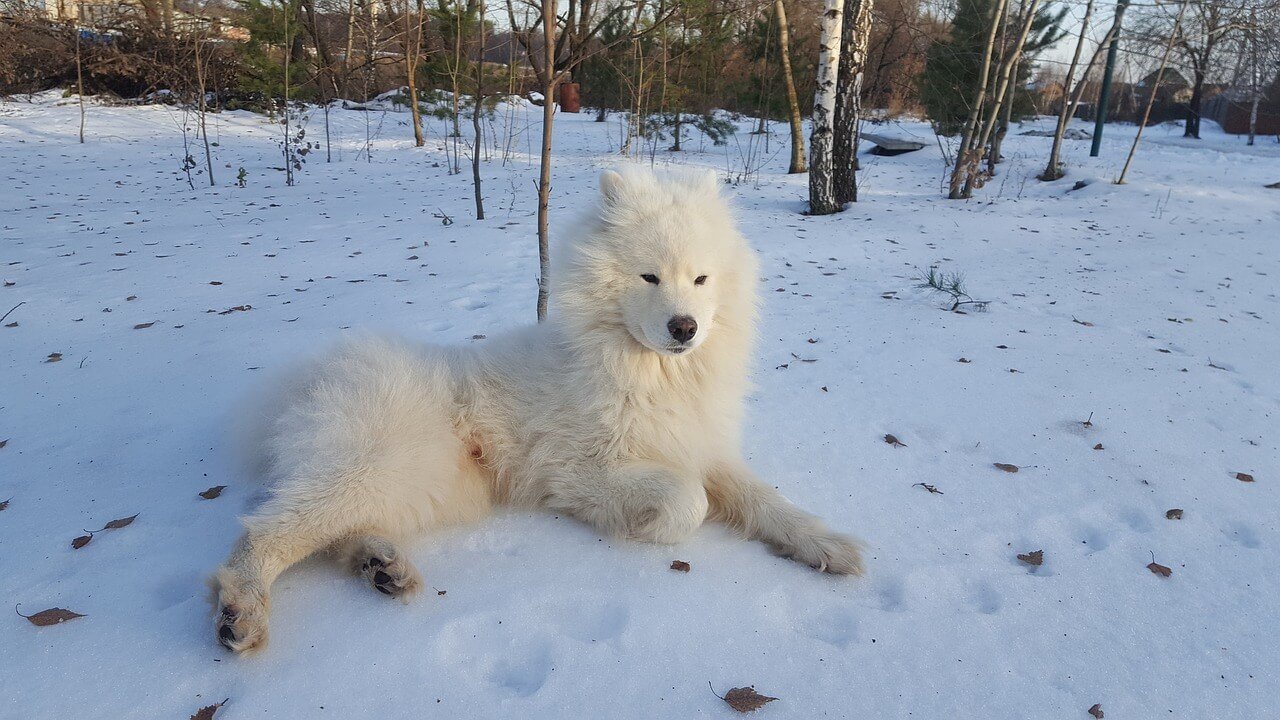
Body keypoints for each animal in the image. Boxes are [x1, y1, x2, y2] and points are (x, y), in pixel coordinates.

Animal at [212, 166, 870, 650]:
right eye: (650, 277)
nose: (684, 326)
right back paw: (241, 609)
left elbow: (767, 501)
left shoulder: (702, 447)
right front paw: (644, 526)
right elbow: (688, 501)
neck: (652, 375)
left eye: (701, 279)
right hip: (383, 465)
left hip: (423, 487)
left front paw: (828, 545)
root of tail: (302, 382)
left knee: (329, 532)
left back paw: (382, 566)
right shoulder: (578, 469)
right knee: (267, 529)